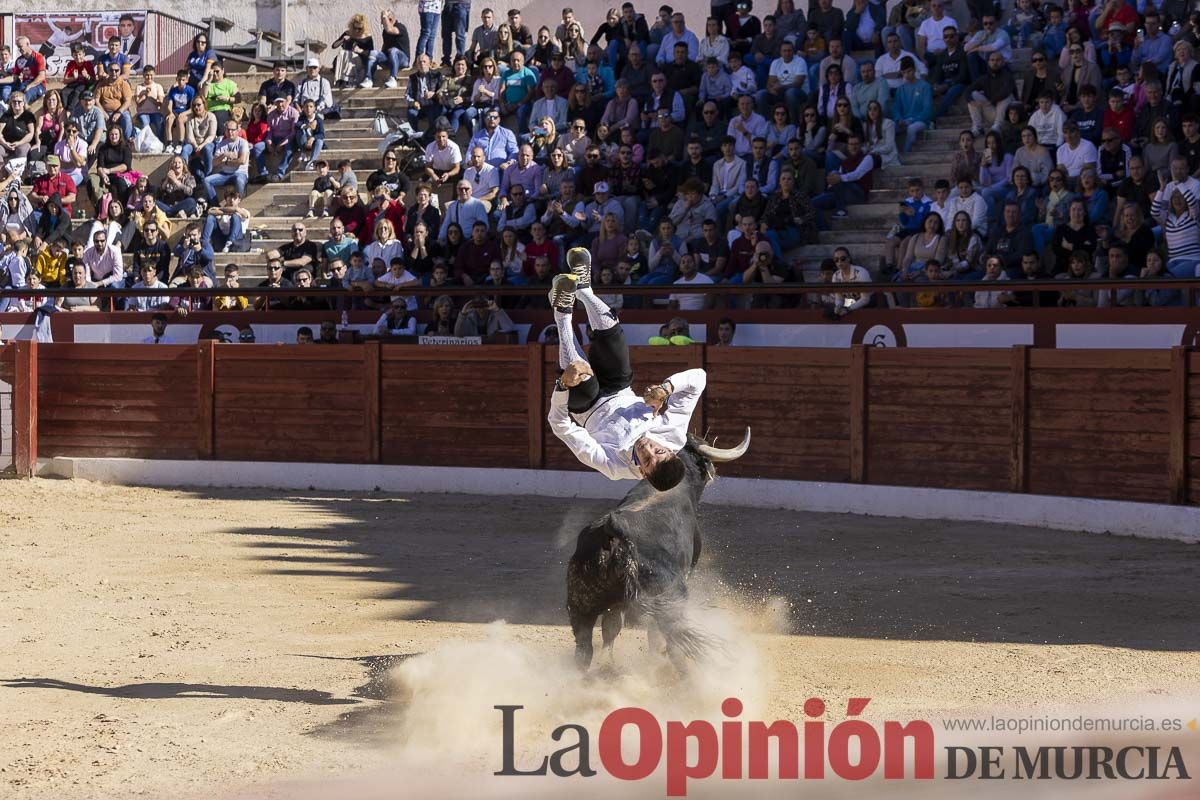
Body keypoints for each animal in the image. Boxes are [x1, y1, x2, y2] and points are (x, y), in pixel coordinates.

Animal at [564, 431, 748, 671]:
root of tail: (614, 533)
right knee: (673, 640)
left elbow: (611, 628)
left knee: (585, 647)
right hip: (671, 597)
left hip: (580, 602)